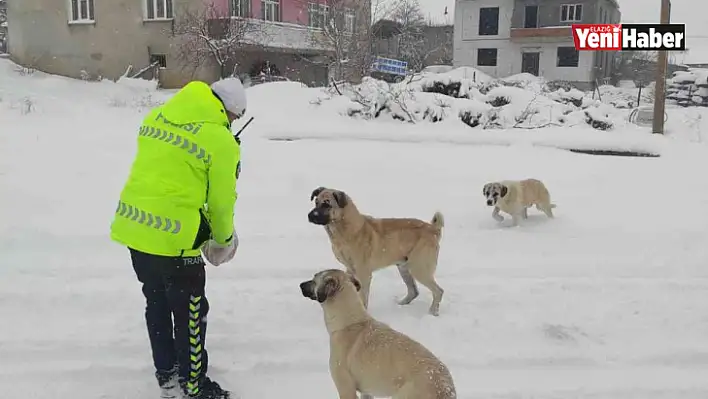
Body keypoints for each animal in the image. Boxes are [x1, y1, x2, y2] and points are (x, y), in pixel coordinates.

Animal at [300, 268, 456, 399]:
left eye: (314, 279)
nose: (300, 285)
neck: (349, 322)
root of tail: (445, 388)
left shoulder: (346, 388)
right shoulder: (366, 392)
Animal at [308, 189, 446, 318]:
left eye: (327, 204)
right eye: (316, 202)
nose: (310, 215)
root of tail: (434, 229)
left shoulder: (364, 273)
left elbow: (363, 297)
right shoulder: (350, 269)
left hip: (419, 268)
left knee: (438, 291)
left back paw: (432, 312)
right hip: (403, 267)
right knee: (414, 291)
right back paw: (401, 304)